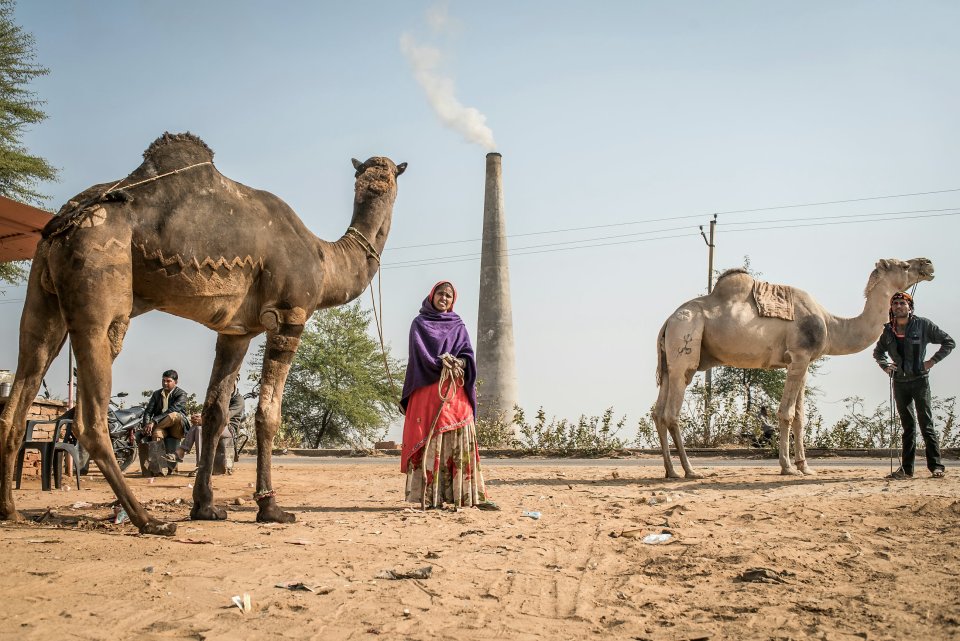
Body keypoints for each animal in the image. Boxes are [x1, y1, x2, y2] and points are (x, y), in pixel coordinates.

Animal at [0, 132, 404, 532]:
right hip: (99, 278)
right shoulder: (290, 316)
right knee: (90, 415)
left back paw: (11, 511)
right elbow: (267, 415)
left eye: (386, 176)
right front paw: (270, 507)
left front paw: (205, 506)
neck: (325, 261)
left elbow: (215, 414)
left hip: (43, 290)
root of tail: (66, 218)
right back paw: (148, 520)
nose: (380, 182)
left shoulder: (236, 331)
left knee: (21, 390)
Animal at [656, 258, 932, 476]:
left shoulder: (804, 362)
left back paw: (671, 471)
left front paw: (805, 466)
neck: (832, 325)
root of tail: (668, 320)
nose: (928, 264)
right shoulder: (799, 355)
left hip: (669, 363)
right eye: (905, 265)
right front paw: (787, 467)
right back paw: (690, 470)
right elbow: (786, 413)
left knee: (658, 412)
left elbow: (801, 415)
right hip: (685, 344)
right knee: (672, 412)